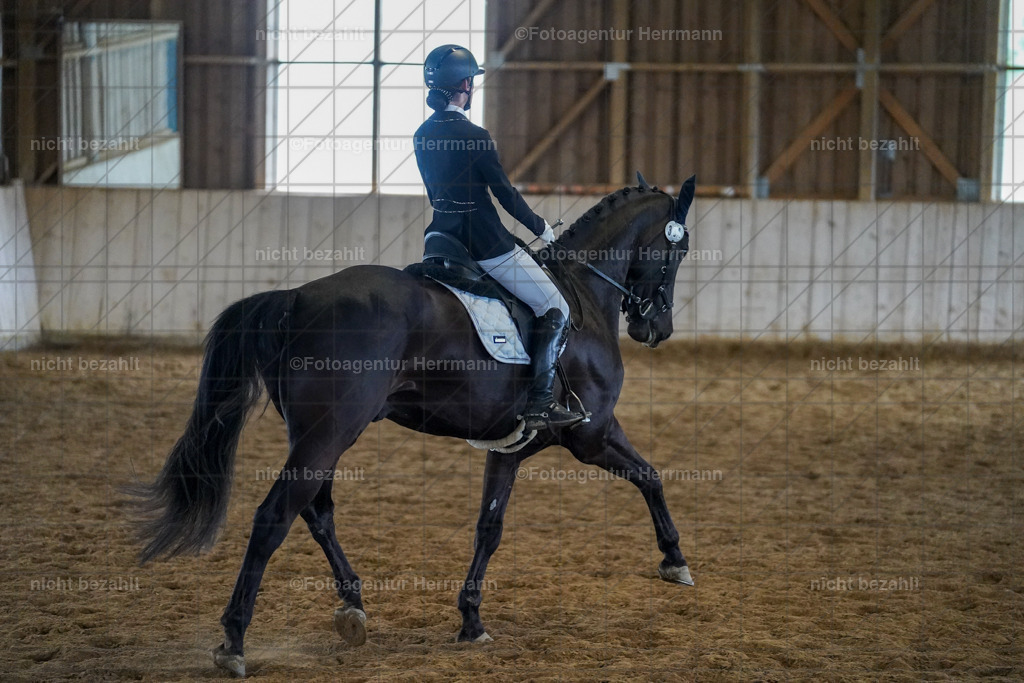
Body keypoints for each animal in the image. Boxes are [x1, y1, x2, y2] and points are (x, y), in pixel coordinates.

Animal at [130, 173, 697, 677]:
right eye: (680, 251)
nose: (657, 328)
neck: (583, 295)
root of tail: (297, 298)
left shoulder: (510, 448)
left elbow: (489, 528)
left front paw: (471, 621)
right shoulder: (591, 434)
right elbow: (651, 476)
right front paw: (675, 560)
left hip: (316, 435)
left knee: (316, 512)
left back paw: (353, 608)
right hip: (330, 433)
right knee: (274, 518)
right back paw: (233, 642)